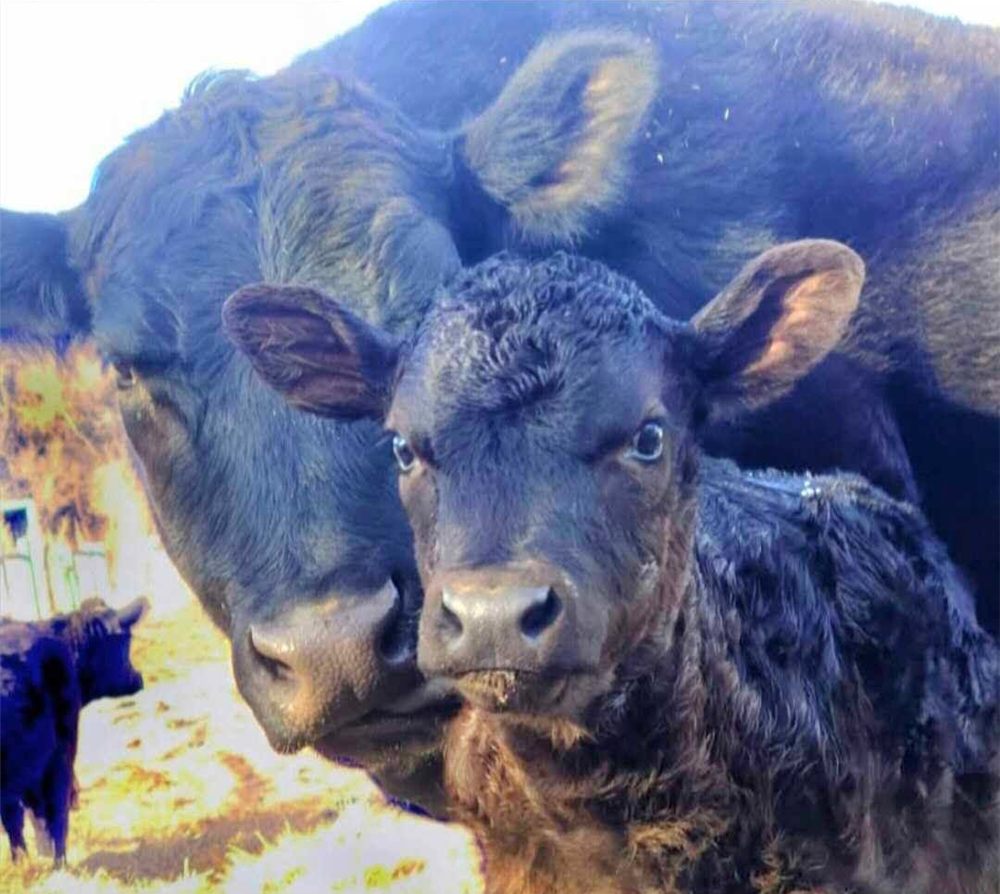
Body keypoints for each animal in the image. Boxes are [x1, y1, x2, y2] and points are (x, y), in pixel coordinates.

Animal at [0, 597, 147, 864]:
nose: (138, 678)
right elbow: (53, 814)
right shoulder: (58, 753)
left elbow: (24, 820)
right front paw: (56, 863)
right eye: (126, 641)